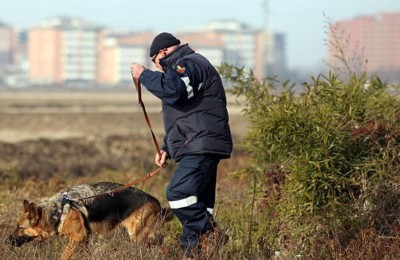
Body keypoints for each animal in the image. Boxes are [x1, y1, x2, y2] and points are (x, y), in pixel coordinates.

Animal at [5, 182, 173, 258]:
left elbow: (63, 257)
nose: (6, 241)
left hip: (139, 237)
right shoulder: (84, 241)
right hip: (146, 237)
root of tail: (155, 201)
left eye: (20, 228)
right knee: (162, 243)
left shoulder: (77, 238)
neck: (57, 211)